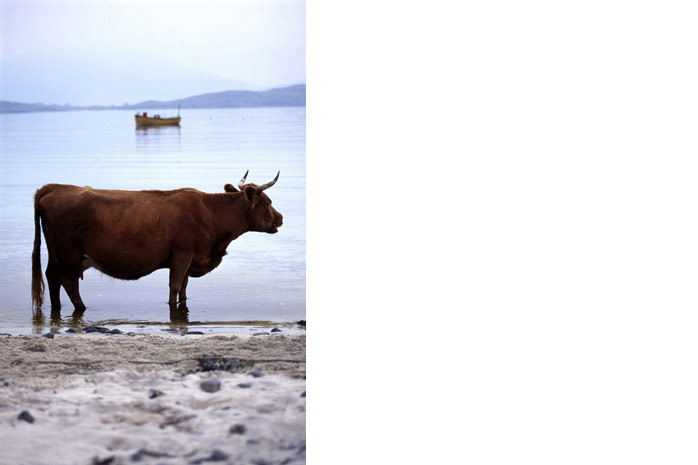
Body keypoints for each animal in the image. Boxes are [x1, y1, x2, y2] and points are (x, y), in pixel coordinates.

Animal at [32, 171, 282, 312]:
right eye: (268, 202)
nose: (281, 218)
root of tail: (53, 188)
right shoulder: (182, 254)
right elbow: (175, 285)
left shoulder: (188, 259)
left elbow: (184, 287)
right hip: (69, 255)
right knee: (69, 282)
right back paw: (82, 308)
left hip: (56, 254)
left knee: (52, 278)